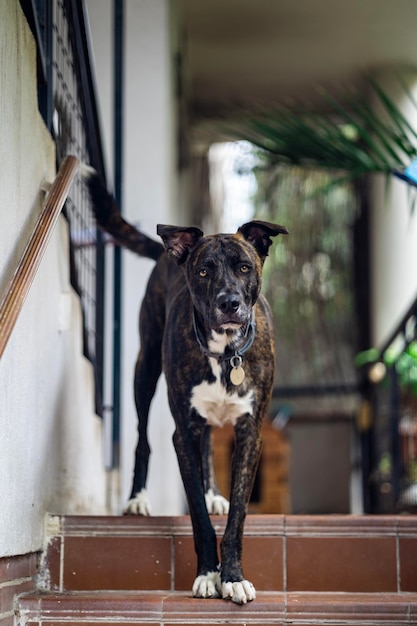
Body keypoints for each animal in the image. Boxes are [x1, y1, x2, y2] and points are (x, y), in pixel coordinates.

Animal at [84, 168, 286, 604]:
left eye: (244, 268)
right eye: (204, 271)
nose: (229, 303)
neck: (226, 353)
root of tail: (166, 254)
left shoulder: (251, 434)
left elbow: (238, 515)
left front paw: (232, 575)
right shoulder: (182, 434)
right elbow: (196, 515)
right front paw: (209, 574)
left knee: (208, 444)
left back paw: (213, 494)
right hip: (144, 369)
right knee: (142, 438)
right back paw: (137, 499)